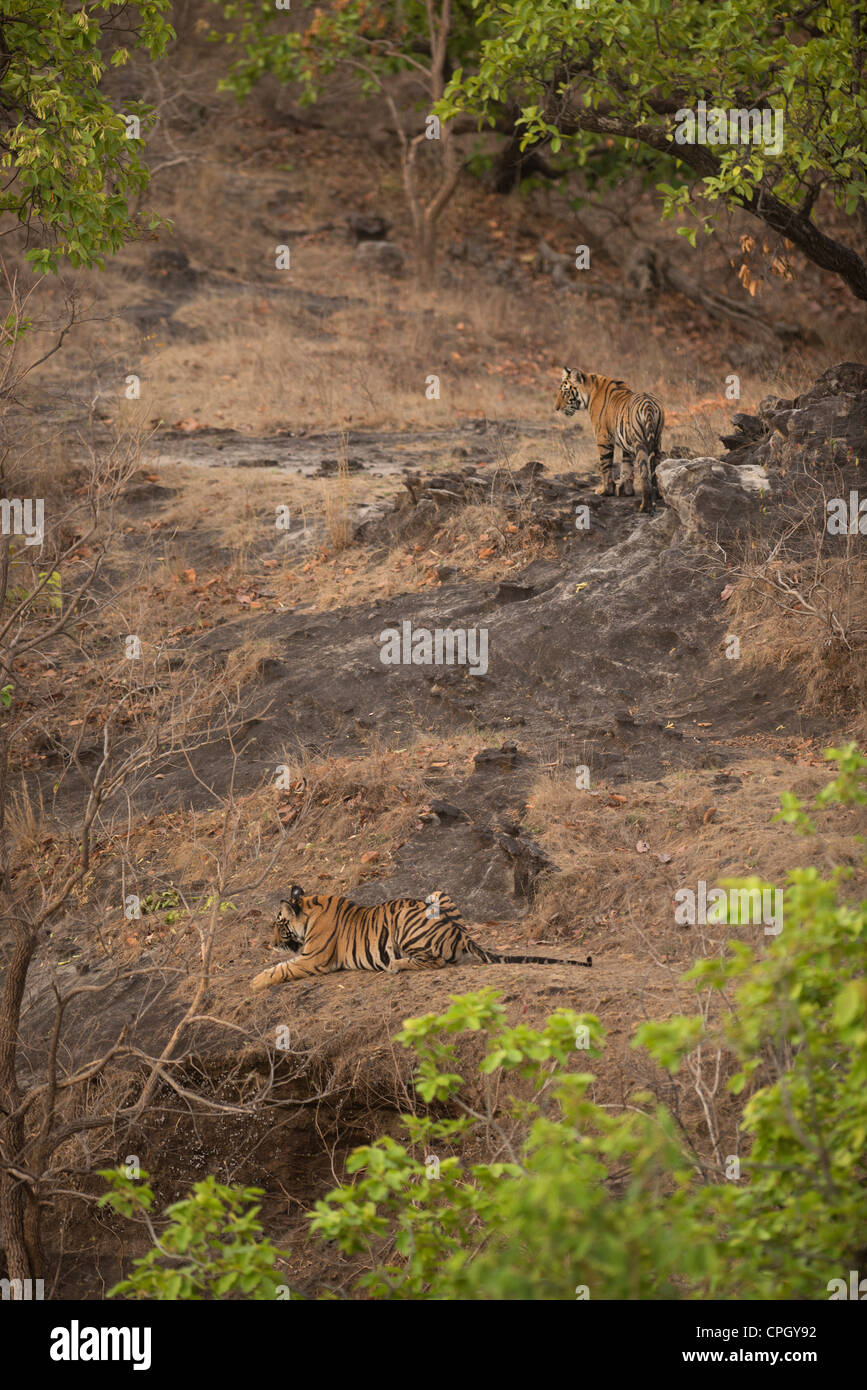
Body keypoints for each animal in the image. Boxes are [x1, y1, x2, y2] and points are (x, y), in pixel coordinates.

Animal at [247, 889, 591, 989]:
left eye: (278, 924)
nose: (271, 942)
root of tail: (459, 932)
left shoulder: (313, 959)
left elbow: (282, 969)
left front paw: (255, 982)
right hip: (437, 895)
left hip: (405, 922)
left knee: (435, 962)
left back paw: (396, 965)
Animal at [555, 369, 664, 517]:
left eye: (565, 392)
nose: (556, 408)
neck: (590, 391)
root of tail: (649, 405)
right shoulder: (626, 443)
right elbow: (626, 468)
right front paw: (626, 492)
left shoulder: (602, 438)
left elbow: (605, 466)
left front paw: (605, 491)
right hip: (657, 441)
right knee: (655, 470)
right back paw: (657, 496)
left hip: (640, 442)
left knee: (644, 474)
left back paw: (644, 507)